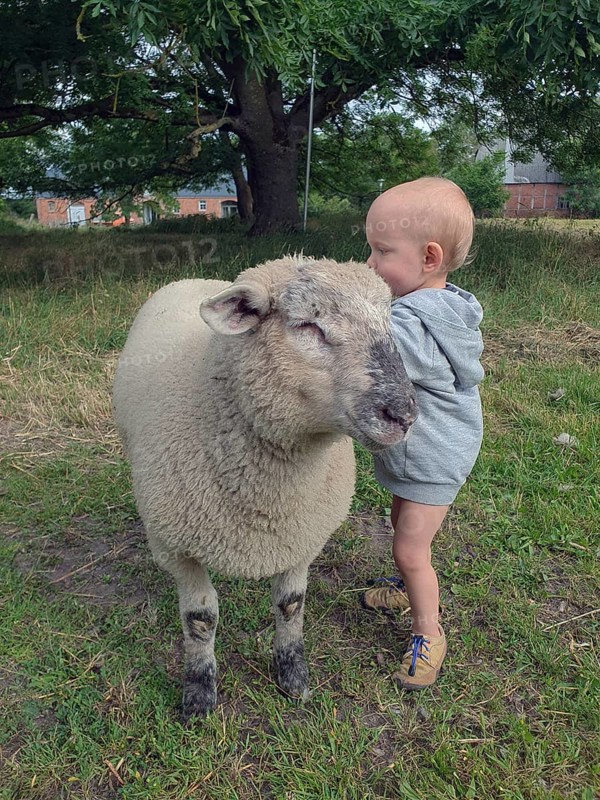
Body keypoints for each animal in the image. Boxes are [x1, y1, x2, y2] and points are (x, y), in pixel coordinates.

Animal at [112, 256, 417, 722]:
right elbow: (200, 619)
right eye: (307, 325)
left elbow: (291, 604)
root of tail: (194, 279)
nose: (403, 415)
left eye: (390, 322)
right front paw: (199, 694)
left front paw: (292, 675)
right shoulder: (179, 547)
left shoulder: (301, 535)